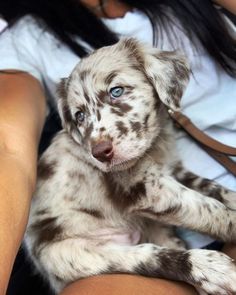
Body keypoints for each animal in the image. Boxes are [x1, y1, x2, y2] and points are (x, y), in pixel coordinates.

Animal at [24, 38, 236, 294]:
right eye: (80, 116)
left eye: (116, 91)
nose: (100, 153)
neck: (153, 148)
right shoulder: (147, 188)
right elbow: (209, 208)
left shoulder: (173, 169)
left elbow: (214, 189)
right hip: (82, 255)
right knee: (152, 256)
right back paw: (211, 270)